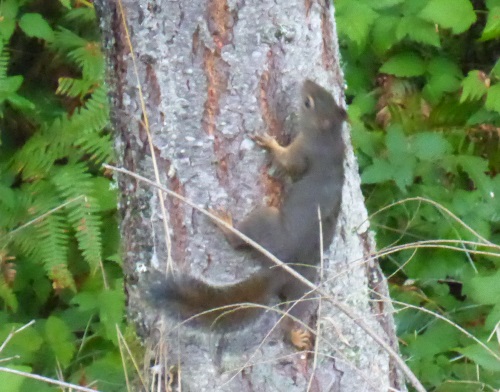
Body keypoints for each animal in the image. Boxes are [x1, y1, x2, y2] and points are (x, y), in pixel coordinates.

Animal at [151, 79, 348, 350]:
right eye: (323, 92)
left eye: (308, 102)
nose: (305, 81)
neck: (329, 136)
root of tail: (283, 264)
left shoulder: (303, 151)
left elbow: (288, 163)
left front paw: (269, 142)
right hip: (303, 288)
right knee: (295, 312)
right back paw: (296, 336)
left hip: (265, 217)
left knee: (237, 241)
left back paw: (225, 223)